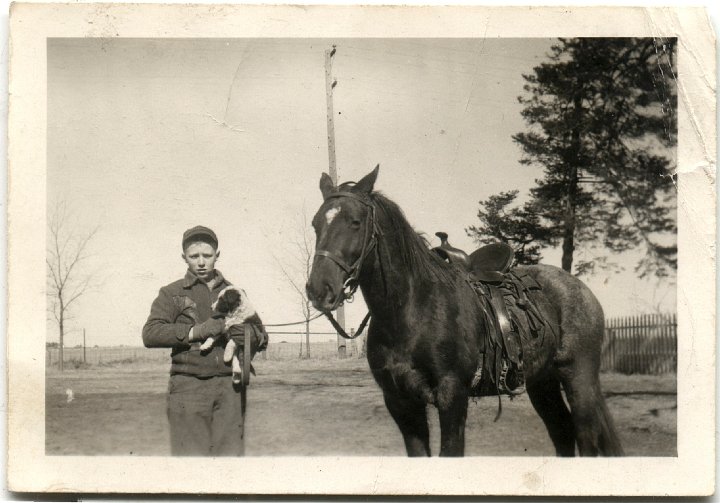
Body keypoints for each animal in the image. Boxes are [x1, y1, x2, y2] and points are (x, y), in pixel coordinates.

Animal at [306, 165, 624, 456]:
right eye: (315, 224)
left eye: (355, 222)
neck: (411, 309)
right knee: (562, 433)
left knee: (586, 437)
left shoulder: (452, 396)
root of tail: (582, 291)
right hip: (542, 382)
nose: (319, 290)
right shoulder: (401, 403)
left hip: (578, 378)